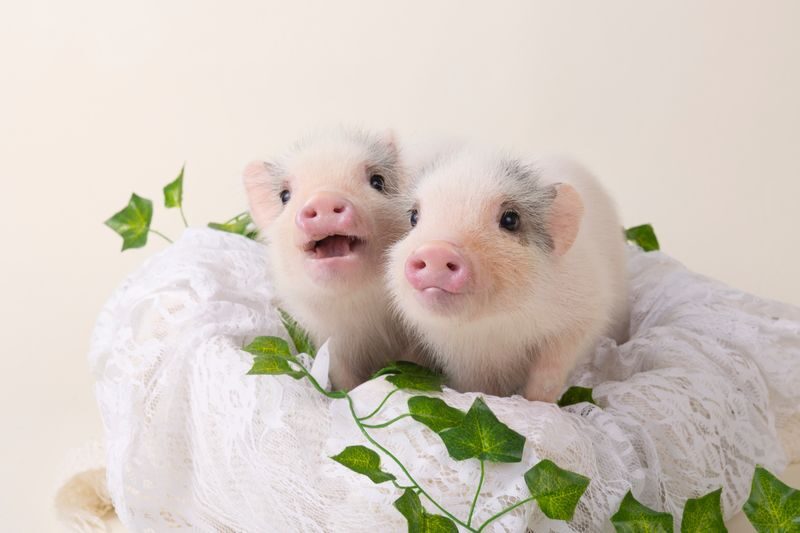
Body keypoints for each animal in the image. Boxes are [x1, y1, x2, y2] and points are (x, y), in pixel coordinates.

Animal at [387, 148, 629, 401]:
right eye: (414, 218)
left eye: (510, 219)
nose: (436, 250)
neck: (494, 329)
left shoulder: (584, 311)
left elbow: (549, 372)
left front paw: (537, 403)